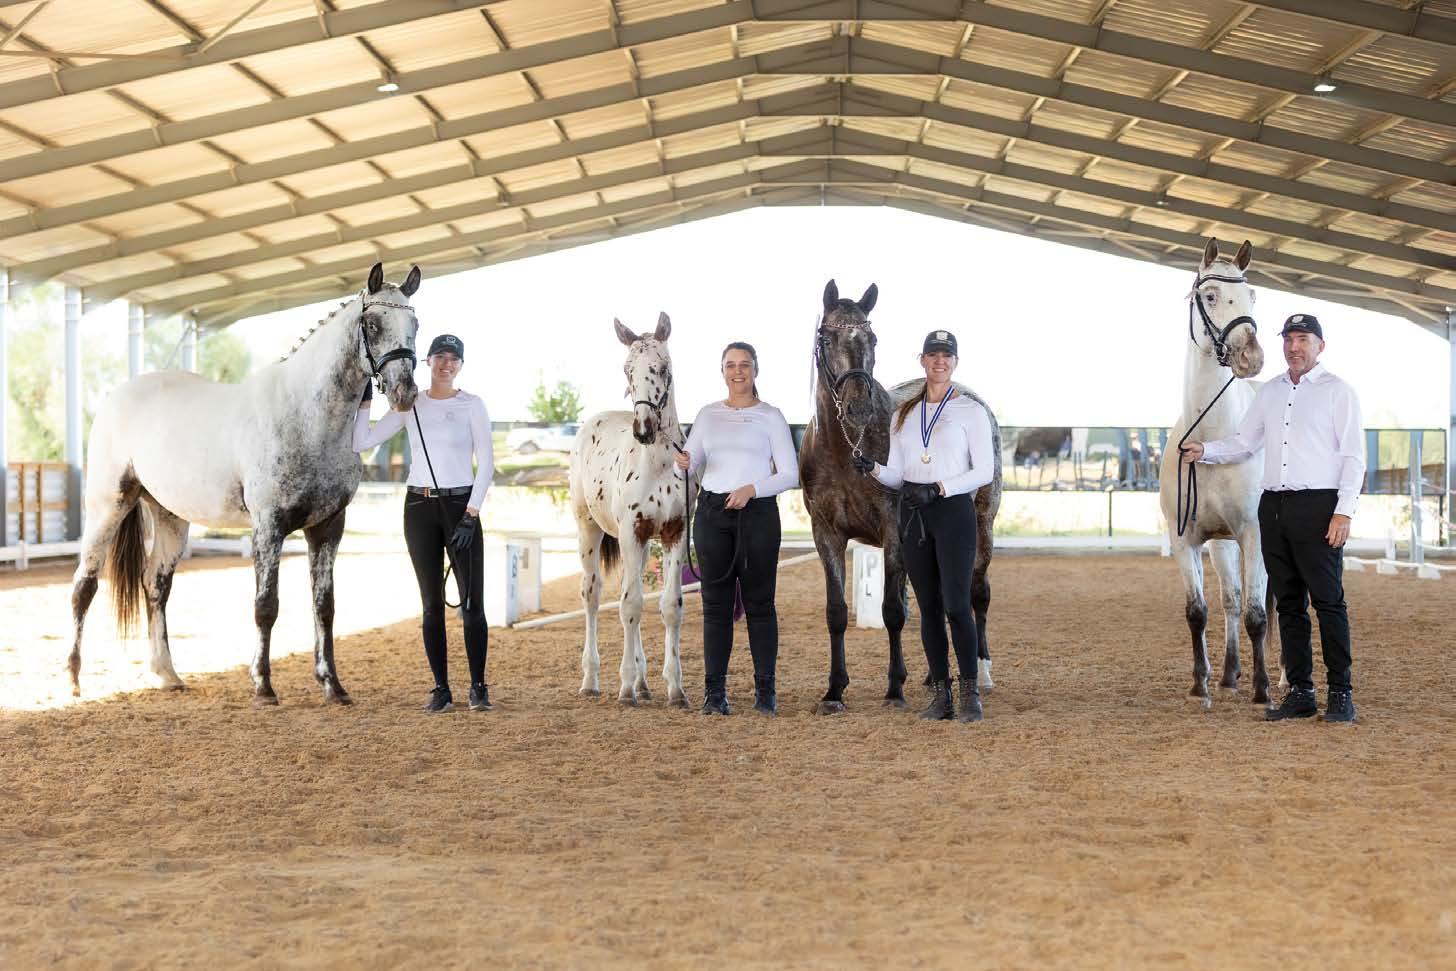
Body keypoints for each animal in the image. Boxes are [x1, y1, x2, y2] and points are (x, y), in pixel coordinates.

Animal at [68, 262, 422, 705]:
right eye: (373, 324)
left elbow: (324, 605)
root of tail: (117, 396)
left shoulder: (328, 527)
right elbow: (265, 605)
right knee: (85, 584)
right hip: (109, 505)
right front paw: (264, 686)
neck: (306, 417)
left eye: (415, 323)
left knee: (156, 585)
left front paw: (333, 685)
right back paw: (74, 679)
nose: (405, 393)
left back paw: (168, 674)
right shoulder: (269, 527)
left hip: (170, 517)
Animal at [569, 313, 690, 707]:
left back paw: (643, 682)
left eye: (663, 368)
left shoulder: (673, 532)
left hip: (639, 542)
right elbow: (630, 606)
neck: (658, 464)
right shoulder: (630, 531)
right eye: (627, 370)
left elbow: (669, 606)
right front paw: (624, 690)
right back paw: (591, 680)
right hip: (589, 529)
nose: (644, 429)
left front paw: (675, 689)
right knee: (593, 595)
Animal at [799, 280, 1003, 714]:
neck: (844, 449)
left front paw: (895, 688)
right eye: (826, 337)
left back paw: (982, 670)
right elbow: (836, 612)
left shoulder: (893, 532)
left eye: (872, 338)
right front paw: (834, 691)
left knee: (977, 593)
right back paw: (933, 676)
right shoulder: (825, 533)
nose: (857, 407)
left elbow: (893, 610)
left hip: (983, 526)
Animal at [1158, 238, 1279, 705]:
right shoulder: (1186, 540)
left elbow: (1257, 614)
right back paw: (1229, 674)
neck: (1210, 441)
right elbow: (1199, 611)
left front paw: (1263, 691)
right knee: (1230, 598)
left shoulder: (1255, 535)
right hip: (1223, 546)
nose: (1251, 356)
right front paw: (1201, 682)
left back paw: (1283, 677)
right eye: (1209, 296)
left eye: (1252, 296)